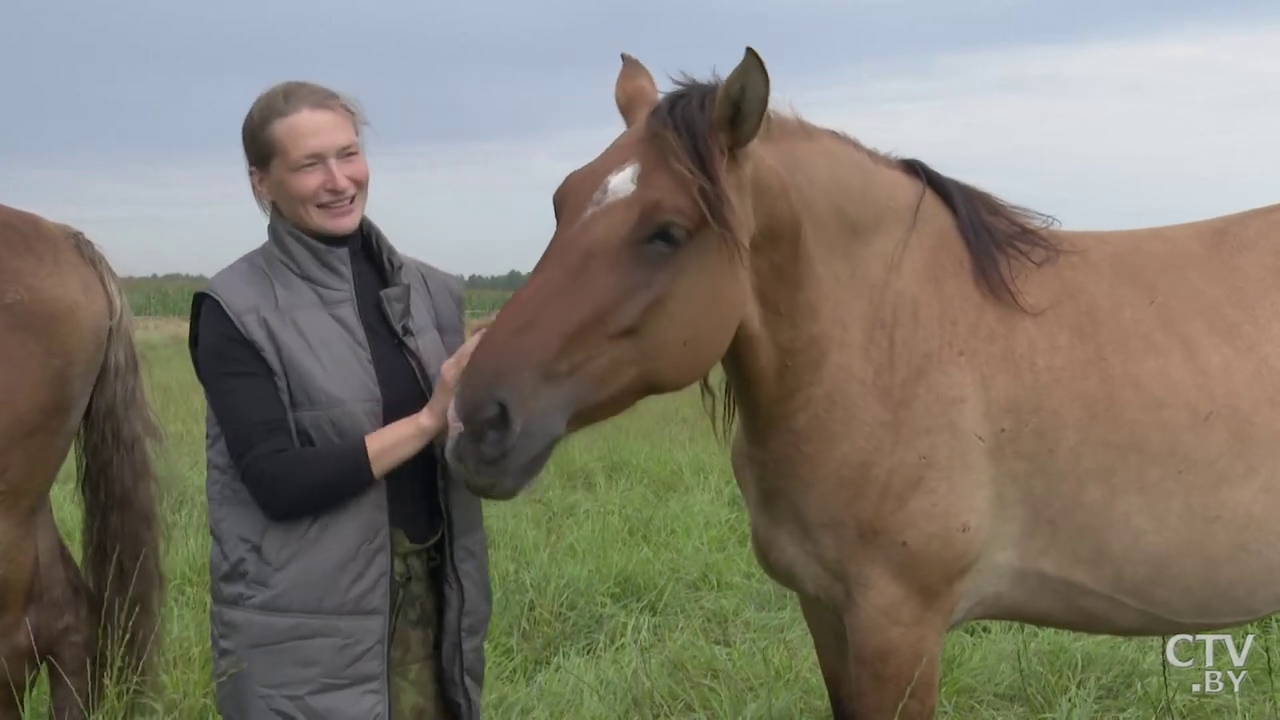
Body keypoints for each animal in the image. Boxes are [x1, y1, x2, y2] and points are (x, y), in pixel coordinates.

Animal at [445, 47, 1280, 712]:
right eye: (563, 201)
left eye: (666, 232)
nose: (478, 420)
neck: (890, 346)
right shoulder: (827, 611)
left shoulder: (898, 627)